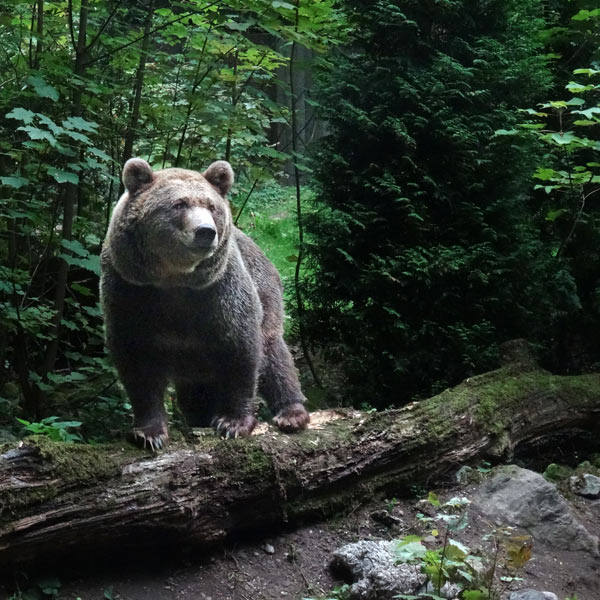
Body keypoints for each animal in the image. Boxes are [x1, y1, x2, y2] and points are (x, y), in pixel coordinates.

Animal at [99, 157, 310, 448]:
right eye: (179, 204)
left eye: (211, 206)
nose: (205, 232)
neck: (174, 280)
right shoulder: (130, 291)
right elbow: (138, 363)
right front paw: (149, 432)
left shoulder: (219, 292)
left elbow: (241, 352)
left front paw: (233, 422)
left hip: (266, 291)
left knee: (274, 354)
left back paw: (291, 412)